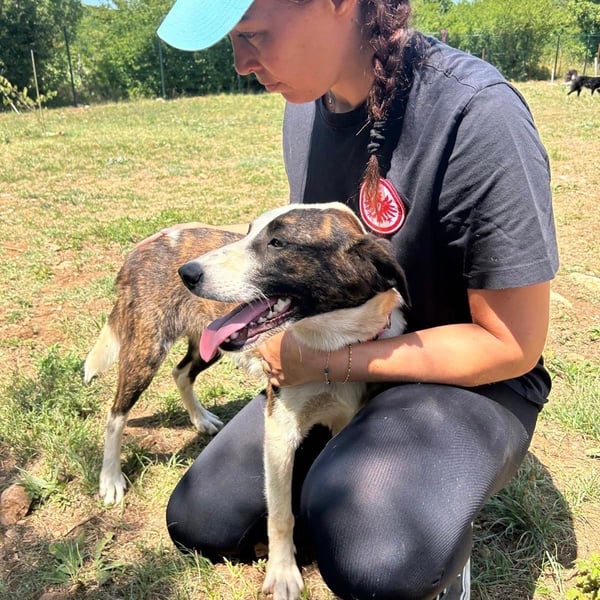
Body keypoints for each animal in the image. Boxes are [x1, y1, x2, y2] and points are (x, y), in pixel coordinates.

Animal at [84, 224, 243, 504]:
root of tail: (137, 253)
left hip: (211, 345)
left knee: (181, 373)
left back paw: (201, 418)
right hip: (145, 353)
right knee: (115, 415)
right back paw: (111, 478)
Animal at [178, 202, 409, 600]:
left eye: (278, 243)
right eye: (248, 232)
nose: (187, 272)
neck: (333, 347)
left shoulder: (343, 420)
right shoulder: (279, 429)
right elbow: (281, 512)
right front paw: (283, 570)